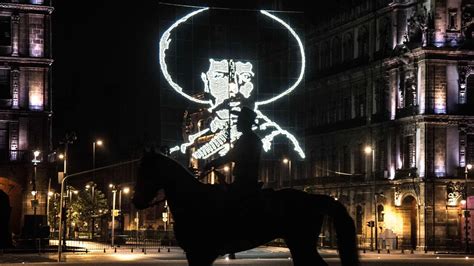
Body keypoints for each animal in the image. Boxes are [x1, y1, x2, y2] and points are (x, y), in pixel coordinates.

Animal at [131, 151, 358, 264]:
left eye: (145, 173)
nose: (136, 201)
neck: (194, 199)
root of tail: (314, 198)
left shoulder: (200, 254)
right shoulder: (198, 255)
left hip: (302, 244)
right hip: (299, 245)